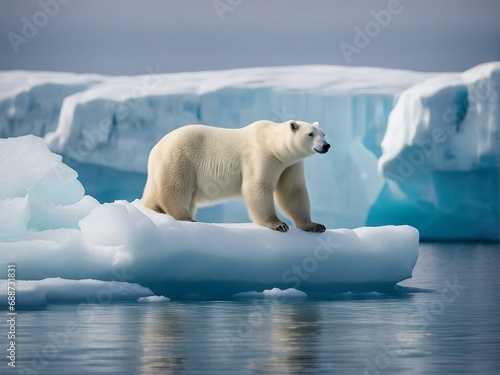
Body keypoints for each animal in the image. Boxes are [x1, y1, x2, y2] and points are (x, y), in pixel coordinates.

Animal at [142, 120, 328, 232]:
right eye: (310, 134)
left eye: (323, 133)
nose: (326, 146)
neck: (273, 145)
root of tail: (155, 149)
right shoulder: (260, 156)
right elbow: (257, 186)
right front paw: (278, 224)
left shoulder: (290, 165)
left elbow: (293, 190)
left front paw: (315, 225)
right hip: (181, 158)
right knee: (176, 188)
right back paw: (186, 218)